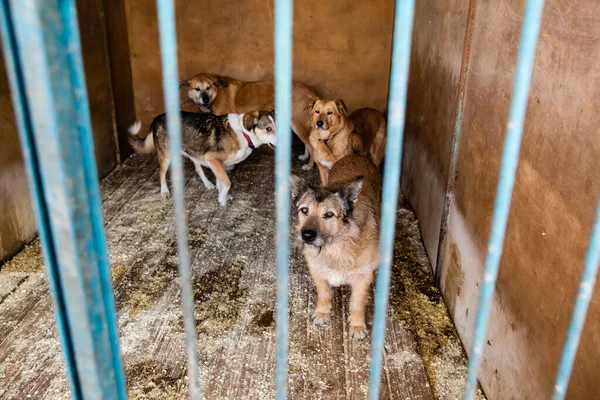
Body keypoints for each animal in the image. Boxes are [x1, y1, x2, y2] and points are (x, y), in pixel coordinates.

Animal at [129, 111, 276, 208]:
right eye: (268, 128)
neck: (244, 133)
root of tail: (159, 117)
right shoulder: (213, 159)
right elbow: (227, 182)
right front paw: (222, 199)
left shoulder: (217, 163)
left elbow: (221, 182)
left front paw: (222, 194)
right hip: (167, 156)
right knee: (161, 173)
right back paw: (164, 191)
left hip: (195, 152)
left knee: (198, 169)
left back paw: (208, 184)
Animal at [179, 72, 316, 170]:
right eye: (197, 89)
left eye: (208, 88)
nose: (205, 100)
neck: (217, 93)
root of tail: (309, 90)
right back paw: (305, 157)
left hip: (296, 123)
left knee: (310, 144)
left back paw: (309, 165)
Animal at [290, 155, 380, 340]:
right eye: (304, 210)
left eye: (329, 214)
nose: (306, 235)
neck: (335, 246)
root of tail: (357, 154)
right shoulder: (317, 270)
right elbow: (324, 294)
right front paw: (322, 313)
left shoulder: (363, 277)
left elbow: (358, 303)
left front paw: (357, 325)